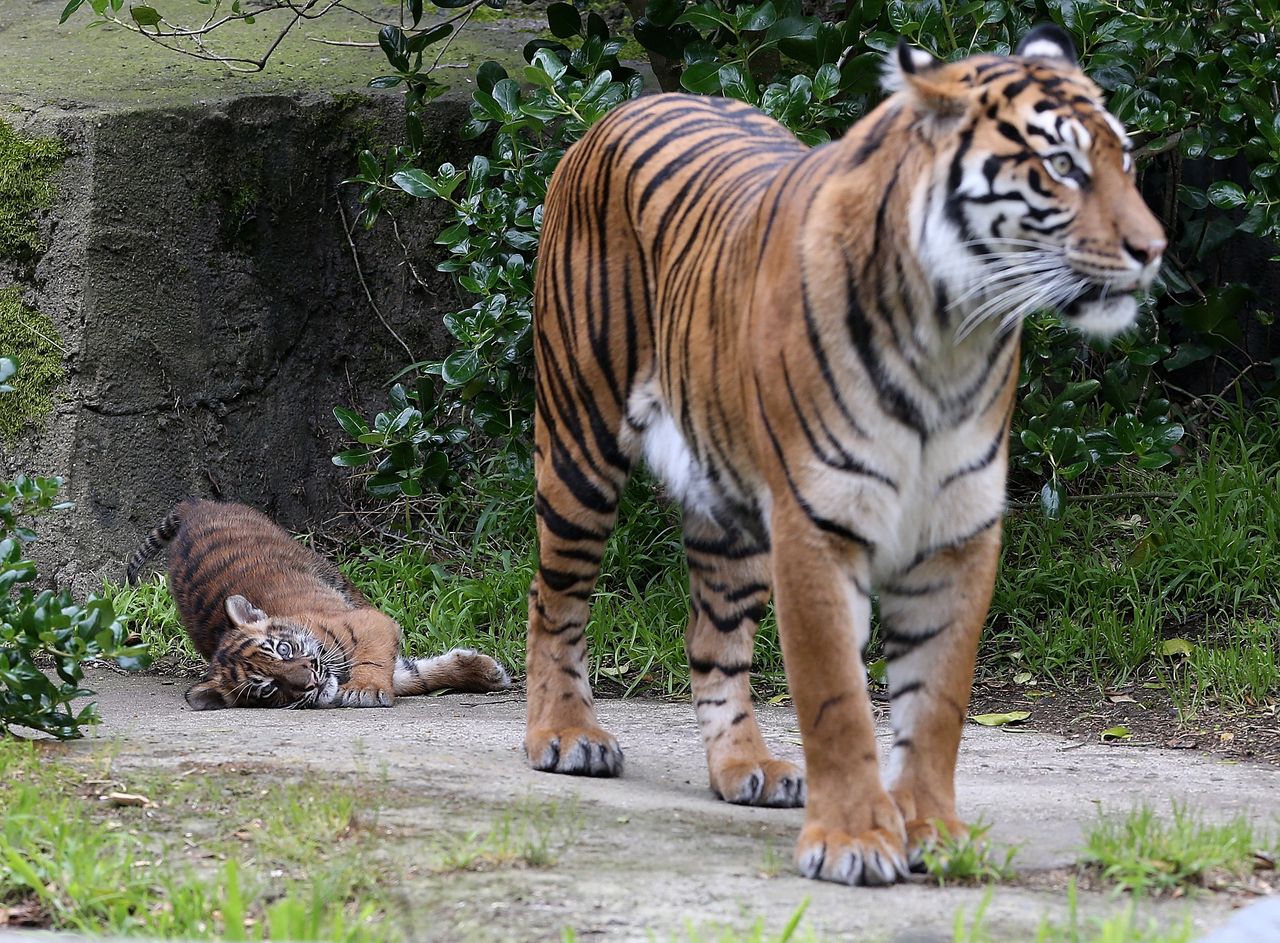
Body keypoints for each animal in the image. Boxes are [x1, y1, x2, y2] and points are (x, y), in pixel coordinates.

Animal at [524, 25, 1167, 885]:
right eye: (1062, 166)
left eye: (1123, 161)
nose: (1152, 248)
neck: (951, 337)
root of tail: (628, 106)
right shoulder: (817, 524)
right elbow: (838, 698)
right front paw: (856, 838)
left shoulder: (958, 533)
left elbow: (937, 702)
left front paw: (934, 830)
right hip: (578, 442)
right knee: (554, 595)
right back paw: (565, 734)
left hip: (727, 510)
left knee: (712, 638)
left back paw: (746, 765)